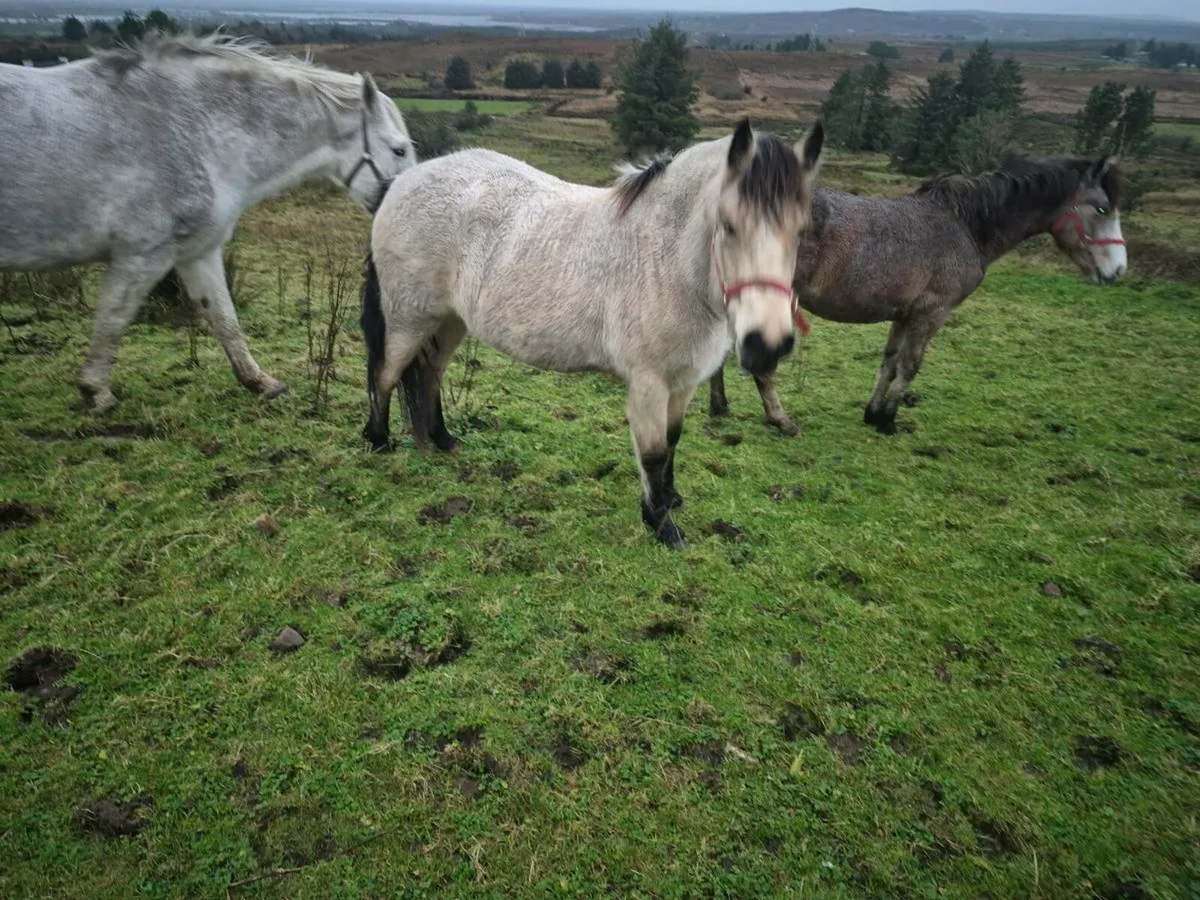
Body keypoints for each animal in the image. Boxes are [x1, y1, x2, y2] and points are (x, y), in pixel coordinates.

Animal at [0, 34, 415, 415]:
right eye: (398, 149)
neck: (196, 130)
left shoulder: (198, 253)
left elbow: (224, 317)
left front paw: (260, 382)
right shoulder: (141, 257)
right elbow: (113, 319)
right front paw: (96, 392)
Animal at [362, 119, 825, 547]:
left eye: (802, 230)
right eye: (728, 225)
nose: (767, 344)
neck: (665, 260)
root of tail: (402, 181)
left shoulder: (685, 380)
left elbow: (672, 441)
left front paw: (670, 499)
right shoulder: (649, 382)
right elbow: (653, 453)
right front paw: (660, 524)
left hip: (451, 321)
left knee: (430, 374)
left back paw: (443, 439)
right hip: (409, 319)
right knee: (387, 374)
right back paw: (379, 442)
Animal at [707, 155, 1128, 435]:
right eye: (1102, 208)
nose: (1119, 271)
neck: (966, 226)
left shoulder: (903, 314)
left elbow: (890, 362)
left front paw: (873, 412)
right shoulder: (932, 312)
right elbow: (911, 366)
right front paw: (888, 419)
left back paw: (721, 407)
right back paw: (781, 420)